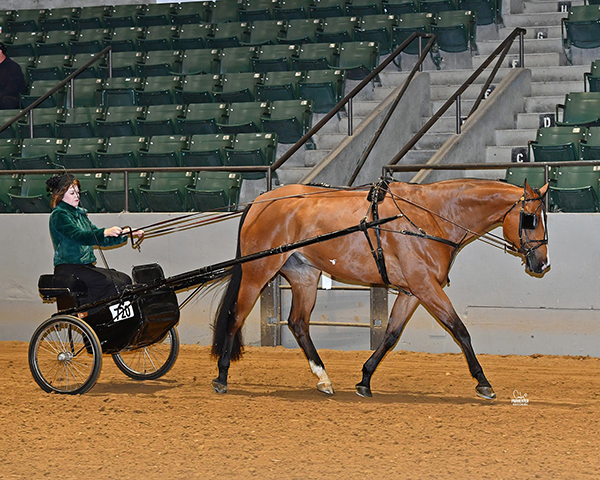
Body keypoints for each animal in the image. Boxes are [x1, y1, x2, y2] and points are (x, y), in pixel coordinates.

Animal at [210, 178, 548, 400]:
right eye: (530, 218)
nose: (542, 264)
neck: (429, 216)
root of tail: (259, 202)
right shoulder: (425, 287)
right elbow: (459, 329)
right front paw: (483, 382)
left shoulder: (412, 292)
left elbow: (391, 335)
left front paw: (365, 379)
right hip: (258, 272)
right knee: (236, 316)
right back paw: (222, 376)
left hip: (304, 275)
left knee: (298, 323)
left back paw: (323, 379)